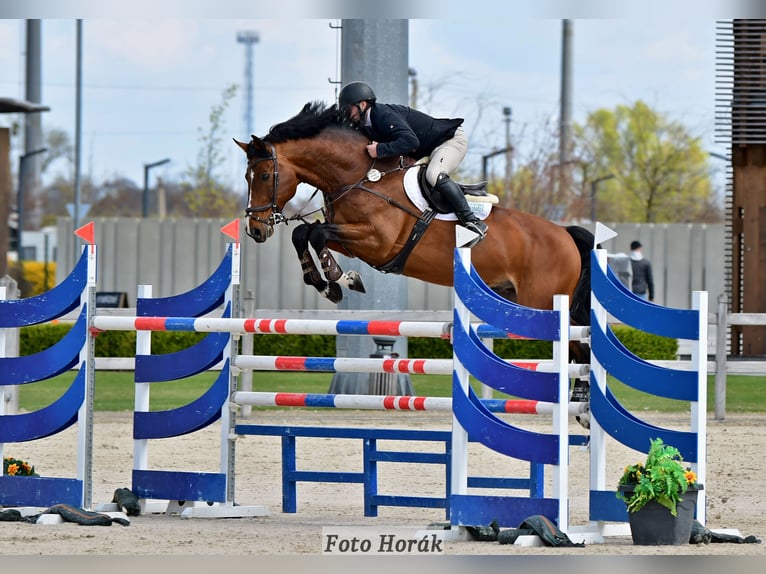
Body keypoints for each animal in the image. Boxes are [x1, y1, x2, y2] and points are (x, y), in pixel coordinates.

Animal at [234, 101, 593, 329]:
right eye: (246, 177)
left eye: (264, 176)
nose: (254, 230)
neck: (359, 175)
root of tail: (565, 234)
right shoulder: (350, 239)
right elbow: (304, 234)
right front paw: (325, 284)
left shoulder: (375, 241)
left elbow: (318, 234)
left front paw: (343, 279)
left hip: (541, 301)